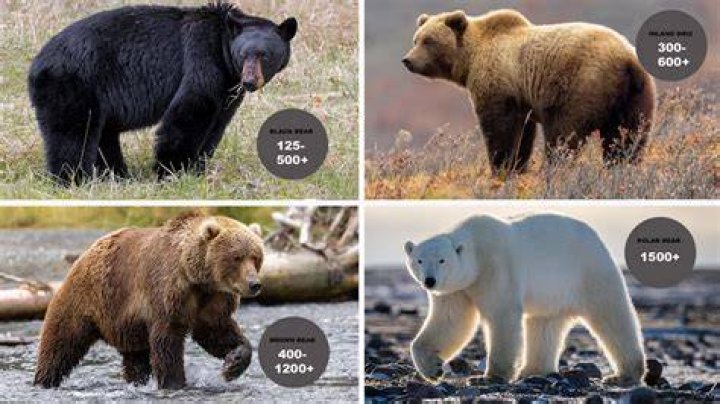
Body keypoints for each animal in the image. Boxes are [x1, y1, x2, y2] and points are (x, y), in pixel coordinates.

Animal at [28, 2, 297, 184]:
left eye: (264, 55)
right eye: (243, 55)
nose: (249, 81)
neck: (222, 44)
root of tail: (35, 65)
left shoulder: (228, 88)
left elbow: (217, 123)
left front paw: (198, 168)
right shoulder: (202, 59)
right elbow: (190, 110)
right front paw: (173, 171)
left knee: (103, 135)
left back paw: (116, 175)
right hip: (73, 85)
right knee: (73, 134)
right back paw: (73, 179)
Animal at [33, 212, 264, 389]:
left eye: (256, 257)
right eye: (236, 257)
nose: (254, 284)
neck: (197, 278)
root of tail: (82, 256)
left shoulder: (213, 299)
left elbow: (216, 331)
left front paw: (232, 365)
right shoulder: (168, 293)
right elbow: (167, 343)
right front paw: (174, 383)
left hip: (126, 326)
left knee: (136, 359)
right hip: (84, 300)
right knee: (61, 344)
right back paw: (44, 380)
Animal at [402, 9, 655, 173]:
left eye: (429, 40)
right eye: (416, 39)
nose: (408, 60)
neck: (470, 60)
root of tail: (627, 60)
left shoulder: (499, 85)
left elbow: (499, 130)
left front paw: (501, 167)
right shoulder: (521, 100)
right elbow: (523, 134)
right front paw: (517, 166)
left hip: (581, 86)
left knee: (563, 136)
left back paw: (554, 170)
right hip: (635, 97)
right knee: (628, 139)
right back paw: (621, 169)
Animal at [403, 213, 646, 387]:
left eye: (442, 260)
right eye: (419, 260)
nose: (430, 281)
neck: (477, 250)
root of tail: (595, 237)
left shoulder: (496, 267)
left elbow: (502, 315)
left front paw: (489, 377)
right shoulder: (458, 289)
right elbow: (450, 321)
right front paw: (434, 369)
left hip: (588, 271)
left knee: (611, 315)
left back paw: (623, 375)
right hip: (553, 293)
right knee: (544, 326)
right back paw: (533, 370)